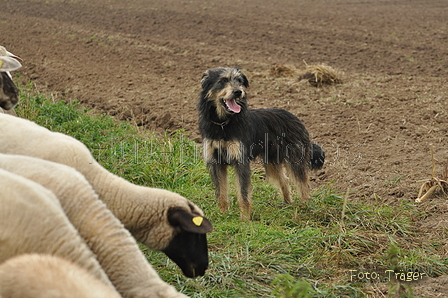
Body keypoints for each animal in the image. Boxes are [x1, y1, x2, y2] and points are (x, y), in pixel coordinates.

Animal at [198, 68, 324, 221]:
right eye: (222, 80)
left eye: (239, 81)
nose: (238, 92)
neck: (223, 124)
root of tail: (296, 118)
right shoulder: (216, 162)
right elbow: (221, 193)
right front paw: (222, 215)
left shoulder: (241, 161)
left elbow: (243, 194)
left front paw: (245, 219)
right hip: (271, 161)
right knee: (285, 180)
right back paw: (288, 204)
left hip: (295, 160)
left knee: (303, 185)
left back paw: (306, 208)